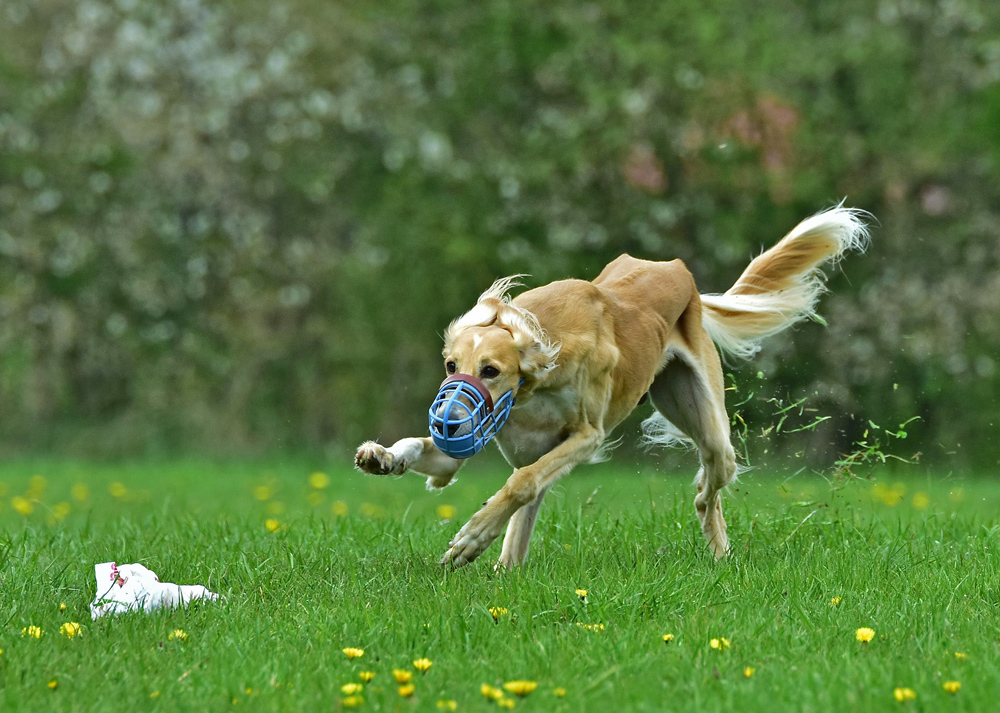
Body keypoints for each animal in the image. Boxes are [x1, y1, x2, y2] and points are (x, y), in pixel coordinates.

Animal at [354, 206, 868, 568]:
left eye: (491, 370)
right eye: (450, 364)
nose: (449, 424)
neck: (534, 375)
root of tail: (676, 269)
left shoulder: (587, 436)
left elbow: (521, 480)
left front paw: (470, 537)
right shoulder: (477, 436)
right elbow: (431, 454)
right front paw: (381, 456)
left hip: (709, 425)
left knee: (712, 484)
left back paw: (717, 541)